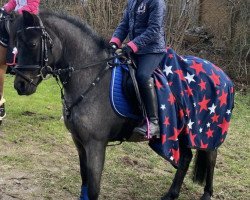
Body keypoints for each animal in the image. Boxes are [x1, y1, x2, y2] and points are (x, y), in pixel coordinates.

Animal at [9, 10, 232, 200]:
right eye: (17, 42)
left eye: (33, 44)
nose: (20, 85)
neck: (91, 76)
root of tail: (222, 75)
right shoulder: (79, 142)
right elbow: (84, 181)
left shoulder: (96, 144)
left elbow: (94, 188)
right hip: (183, 130)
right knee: (185, 158)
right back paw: (172, 194)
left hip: (206, 130)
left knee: (211, 157)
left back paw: (207, 194)